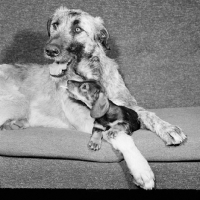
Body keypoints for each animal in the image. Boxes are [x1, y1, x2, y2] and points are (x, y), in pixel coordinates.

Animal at [0, 7, 187, 190]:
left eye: (77, 29)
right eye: (55, 24)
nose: (50, 51)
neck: (91, 74)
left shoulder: (127, 105)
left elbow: (148, 114)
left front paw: (168, 128)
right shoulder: (87, 118)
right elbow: (117, 134)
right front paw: (141, 169)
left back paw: (15, 124)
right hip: (19, 101)